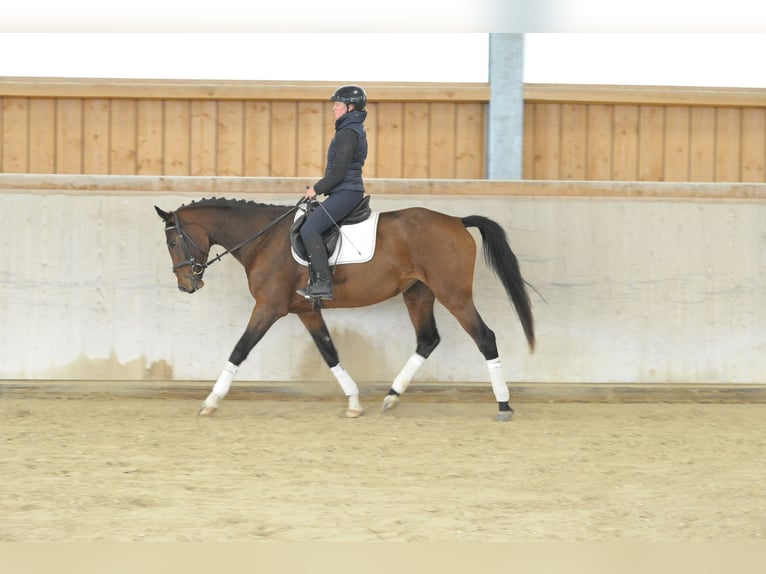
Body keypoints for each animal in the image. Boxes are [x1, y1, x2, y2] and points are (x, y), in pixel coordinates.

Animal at [154, 196, 535, 421]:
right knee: (427, 340)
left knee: (485, 338)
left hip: (453, 294)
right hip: (419, 295)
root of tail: (456, 220)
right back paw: (392, 396)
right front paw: (353, 401)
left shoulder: (269, 306)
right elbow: (329, 352)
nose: (187, 285)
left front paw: (210, 401)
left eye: (172, 241)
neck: (263, 239)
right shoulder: (306, 310)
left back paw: (503, 404)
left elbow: (239, 350)